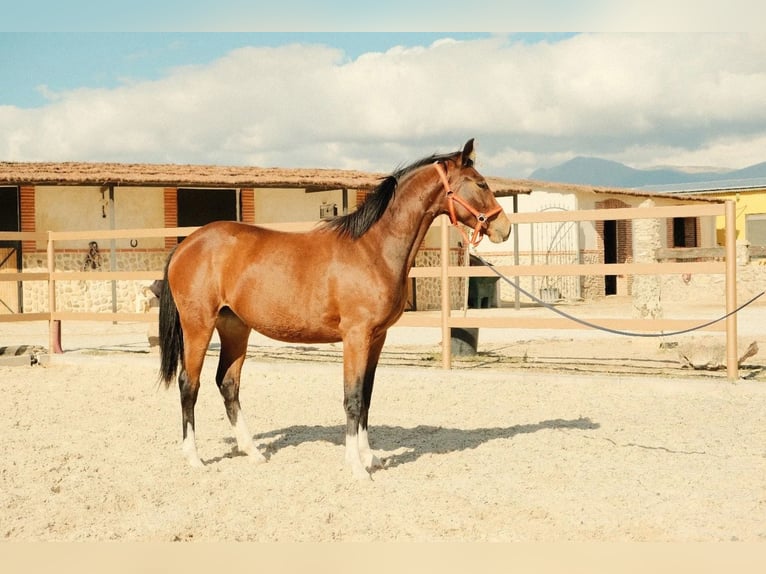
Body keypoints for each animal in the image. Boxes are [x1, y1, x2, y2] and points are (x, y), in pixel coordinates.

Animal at [158, 139, 511, 479]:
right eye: (480, 183)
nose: (504, 228)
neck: (373, 249)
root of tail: (186, 244)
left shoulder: (377, 337)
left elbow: (367, 396)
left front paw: (371, 458)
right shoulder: (355, 336)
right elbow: (352, 398)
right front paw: (356, 466)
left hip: (235, 327)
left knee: (228, 383)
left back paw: (253, 452)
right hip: (198, 326)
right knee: (189, 384)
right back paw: (194, 458)